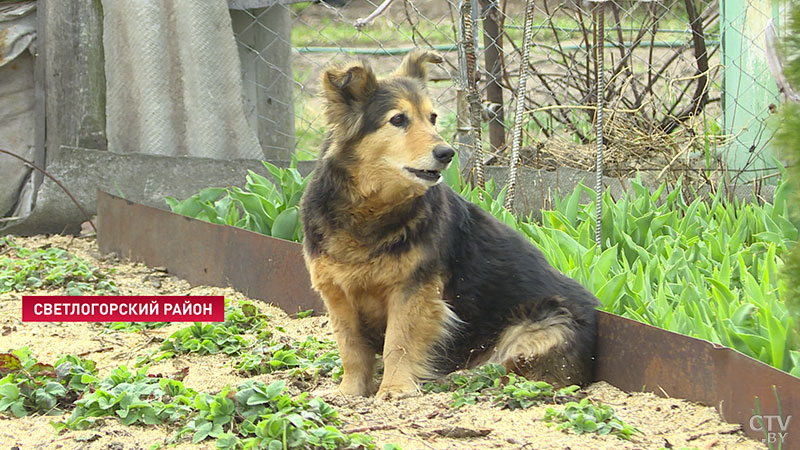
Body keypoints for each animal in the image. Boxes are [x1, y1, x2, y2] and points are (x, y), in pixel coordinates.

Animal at [304, 51, 596, 400]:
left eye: (432, 118)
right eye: (398, 120)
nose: (447, 153)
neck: (370, 209)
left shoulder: (414, 291)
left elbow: (398, 344)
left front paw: (395, 389)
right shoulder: (337, 292)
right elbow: (351, 348)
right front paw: (349, 392)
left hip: (546, 324)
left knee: (509, 371)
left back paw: (457, 380)